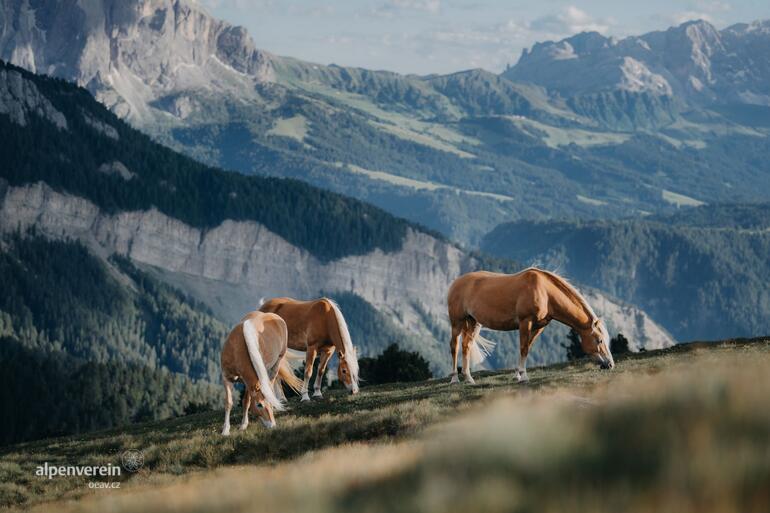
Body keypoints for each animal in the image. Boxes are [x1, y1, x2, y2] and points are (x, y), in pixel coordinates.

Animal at [444, 268, 612, 384]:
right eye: (599, 340)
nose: (610, 364)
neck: (545, 292)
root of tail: (455, 283)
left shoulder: (539, 326)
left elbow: (527, 347)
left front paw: (517, 375)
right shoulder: (526, 322)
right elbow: (523, 348)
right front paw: (523, 377)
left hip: (473, 322)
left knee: (466, 345)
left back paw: (469, 378)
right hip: (457, 322)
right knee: (455, 346)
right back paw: (454, 379)